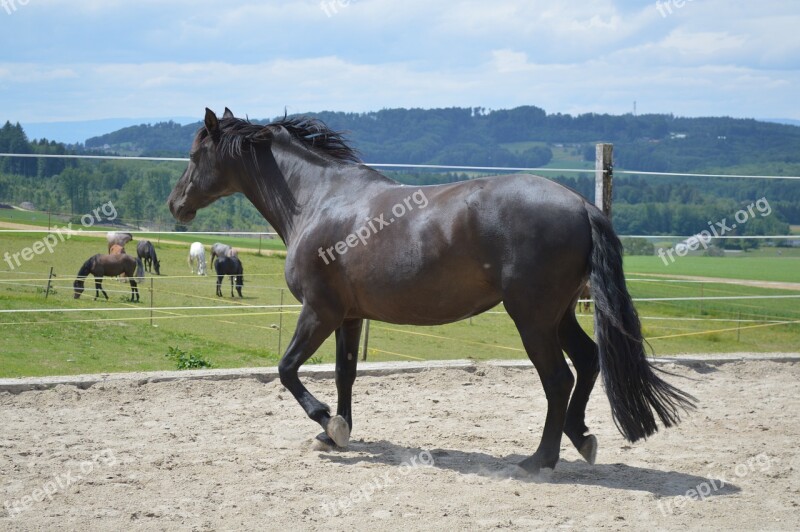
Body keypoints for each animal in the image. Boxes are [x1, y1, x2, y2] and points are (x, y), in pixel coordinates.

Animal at [164, 108, 692, 474]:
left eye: (193, 156)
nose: (176, 205)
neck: (319, 200)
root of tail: (582, 205)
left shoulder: (320, 311)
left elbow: (287, 369)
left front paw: (326, 423)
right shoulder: (350, 316)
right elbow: (344, 375)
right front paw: (337, 432)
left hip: (533, 317)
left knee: (559, 379)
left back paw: (539, 459)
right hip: (559, 313)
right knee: (587, 360)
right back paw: (581, 437)